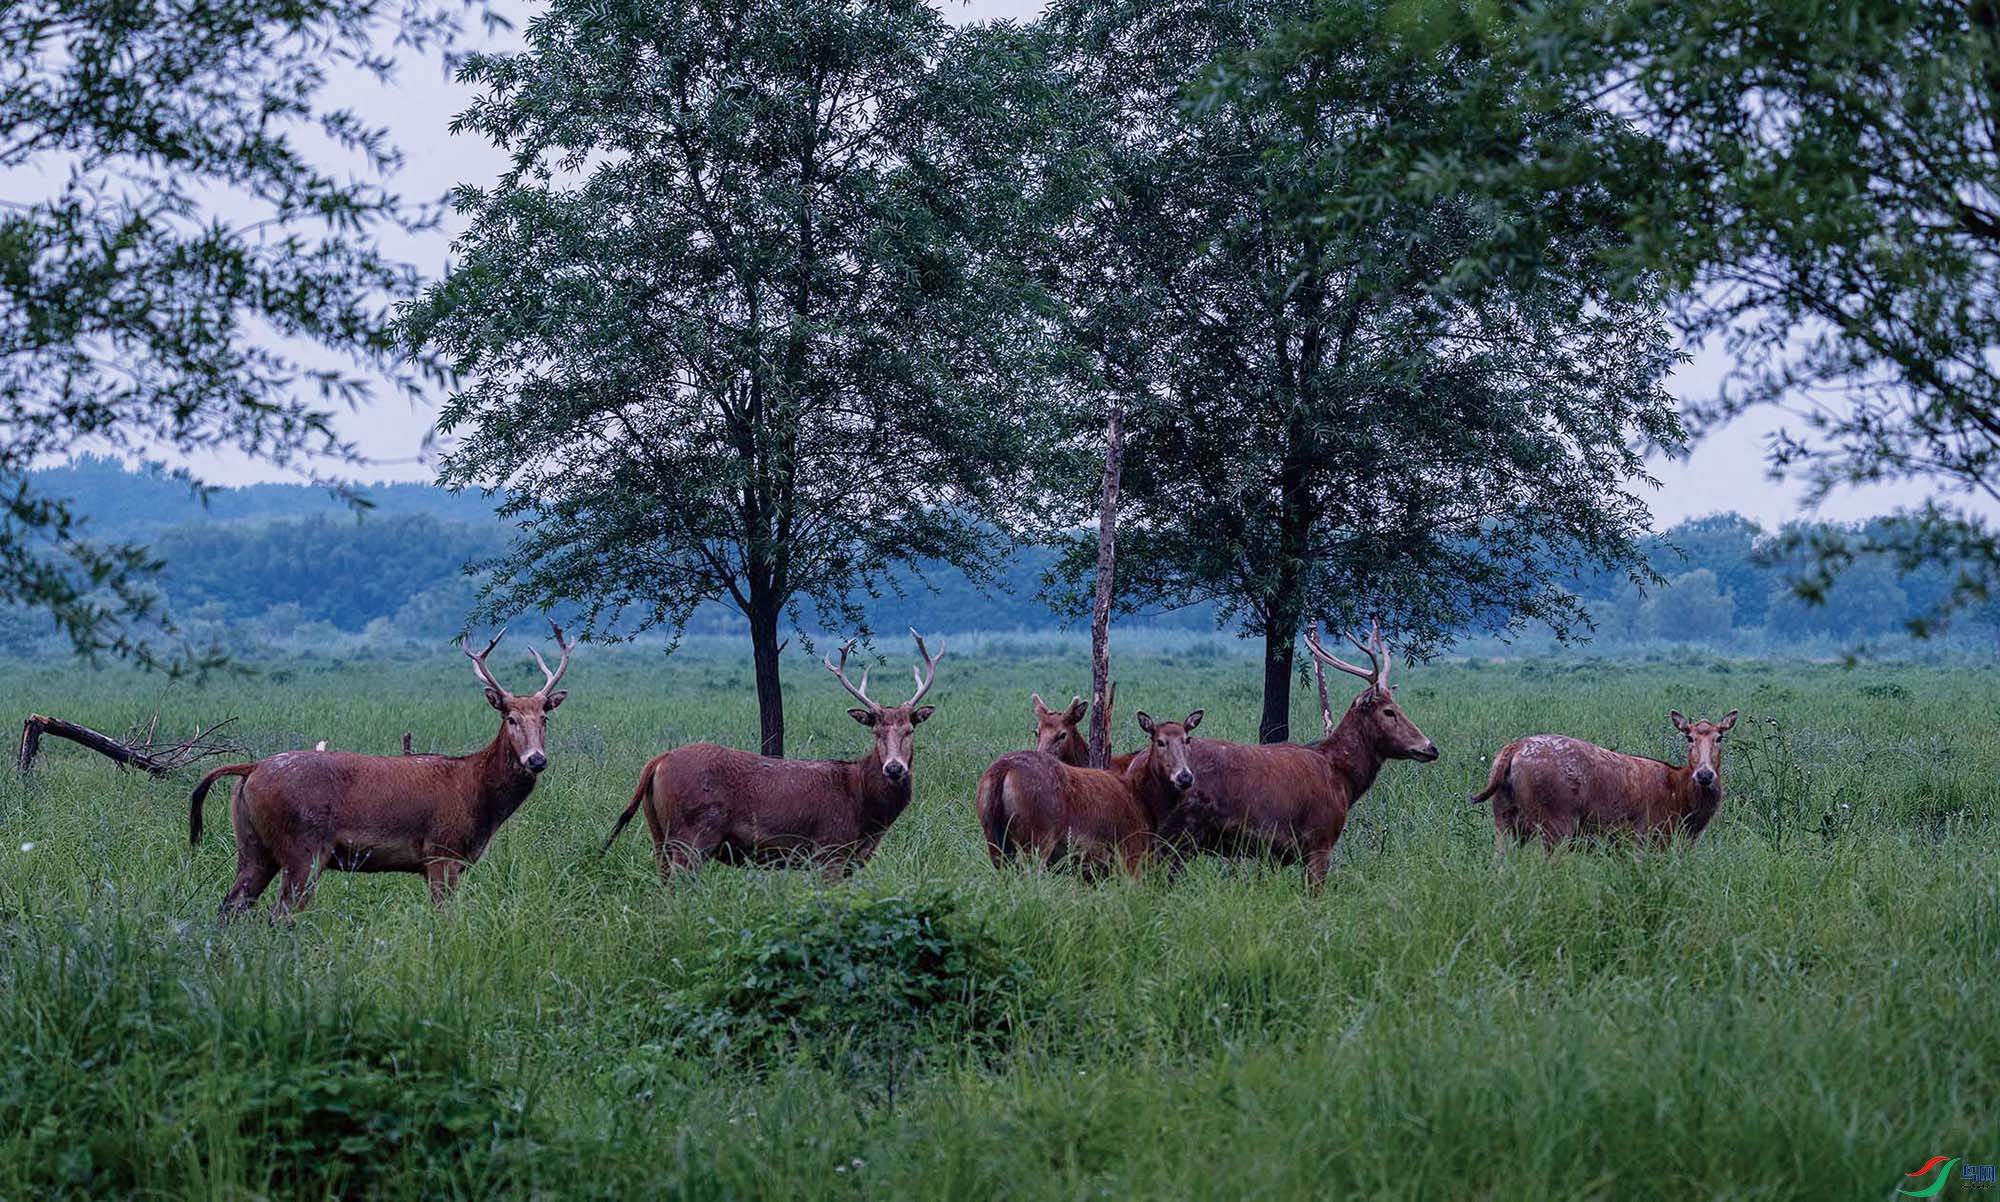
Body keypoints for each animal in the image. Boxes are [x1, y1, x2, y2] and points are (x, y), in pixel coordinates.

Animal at [189, 620, 580, 920]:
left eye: (544, 718)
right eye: (510, 718)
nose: (536, 760)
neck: (478, 797)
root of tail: (252, 767)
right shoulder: (441, 851)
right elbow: (446, 919)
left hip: (253, 845)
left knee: (231, 907)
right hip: (304, 847)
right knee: (278, 914)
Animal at [596, 628, 940, 880]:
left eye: (909, 730)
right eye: (876, 732)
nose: (894, 768)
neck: (864, 809)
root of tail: (658, 761)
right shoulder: (829, 849)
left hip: (658, 833)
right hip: (692, 834)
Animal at [972, 708, 1192, 876]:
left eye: (1187, 740)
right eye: (1160, 741)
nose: (1185, 777)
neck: (1146, 801)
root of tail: (1002, 770)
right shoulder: (1131, 846)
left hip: (992, 835)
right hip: (1038, 836)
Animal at [1472, 708, 1736, 848]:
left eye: (1719, 737)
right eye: (1689, 737)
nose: (1705, 774)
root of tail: (1513, 749)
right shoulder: (1649, 835)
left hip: (1502, 816)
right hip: (1556, 820)